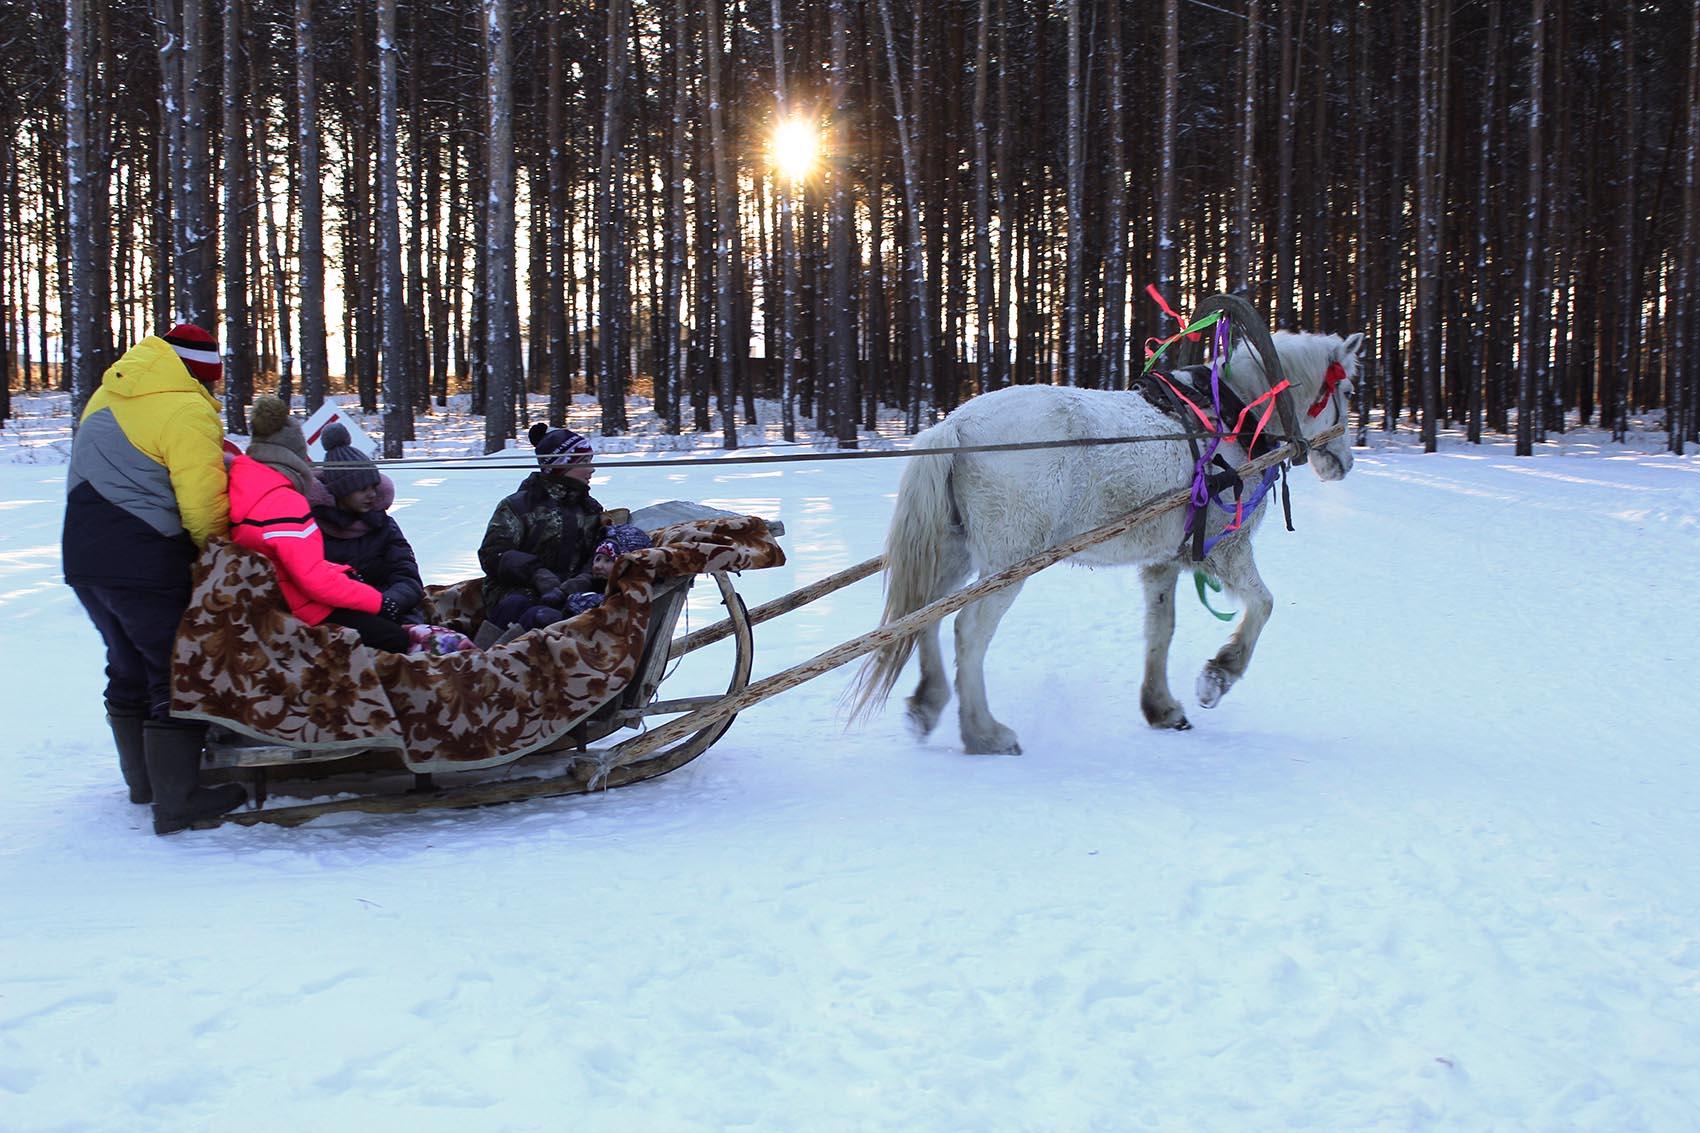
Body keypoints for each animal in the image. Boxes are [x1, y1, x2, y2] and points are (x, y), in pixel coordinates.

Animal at [850, 318, 1366, 748]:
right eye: (1348, 390)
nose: (1344, 462)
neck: (1234, 415)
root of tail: (957, 425)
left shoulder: (1163, 559)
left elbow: (1161, 628)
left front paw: (1161, 707)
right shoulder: (1225, 547)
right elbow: (1263, 604)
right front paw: (1218, 676)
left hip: (955, 551)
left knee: (924, 616)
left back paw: (928, 703)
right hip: (1008, 562)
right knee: (969, 630)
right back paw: (984, 732)